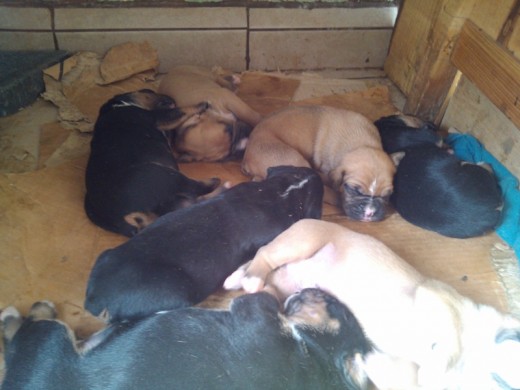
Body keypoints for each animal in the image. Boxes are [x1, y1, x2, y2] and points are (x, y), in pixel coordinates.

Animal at [2, 288, 372, 388]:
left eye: (337, 309)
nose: (315, 289)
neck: (313, 351)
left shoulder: (255, 308)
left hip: (49, 343)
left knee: (28, 330)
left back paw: (20, 314)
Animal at [85, 90, 221, 238]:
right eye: (148, 91)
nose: (171, 98)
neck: (119, 105)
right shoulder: (158, 117)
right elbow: (183, 110)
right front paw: (203, 104)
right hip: (163, 175)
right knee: (196, 187)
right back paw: (214, 182)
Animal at [225, 219, 520, 390]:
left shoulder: (404, 371)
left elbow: (406, 376)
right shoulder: (437, 294)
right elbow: (452, 336)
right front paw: (438, 364)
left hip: (284, 279)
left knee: (266, 274)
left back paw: (242, 277)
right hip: (300, 241)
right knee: (263, 255)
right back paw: (245, 278)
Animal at [242, 104, 396, 222]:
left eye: (386, 196)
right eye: (353, 190)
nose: (369, 213)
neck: (362, 144)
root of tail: (247, 156)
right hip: (296, 160)